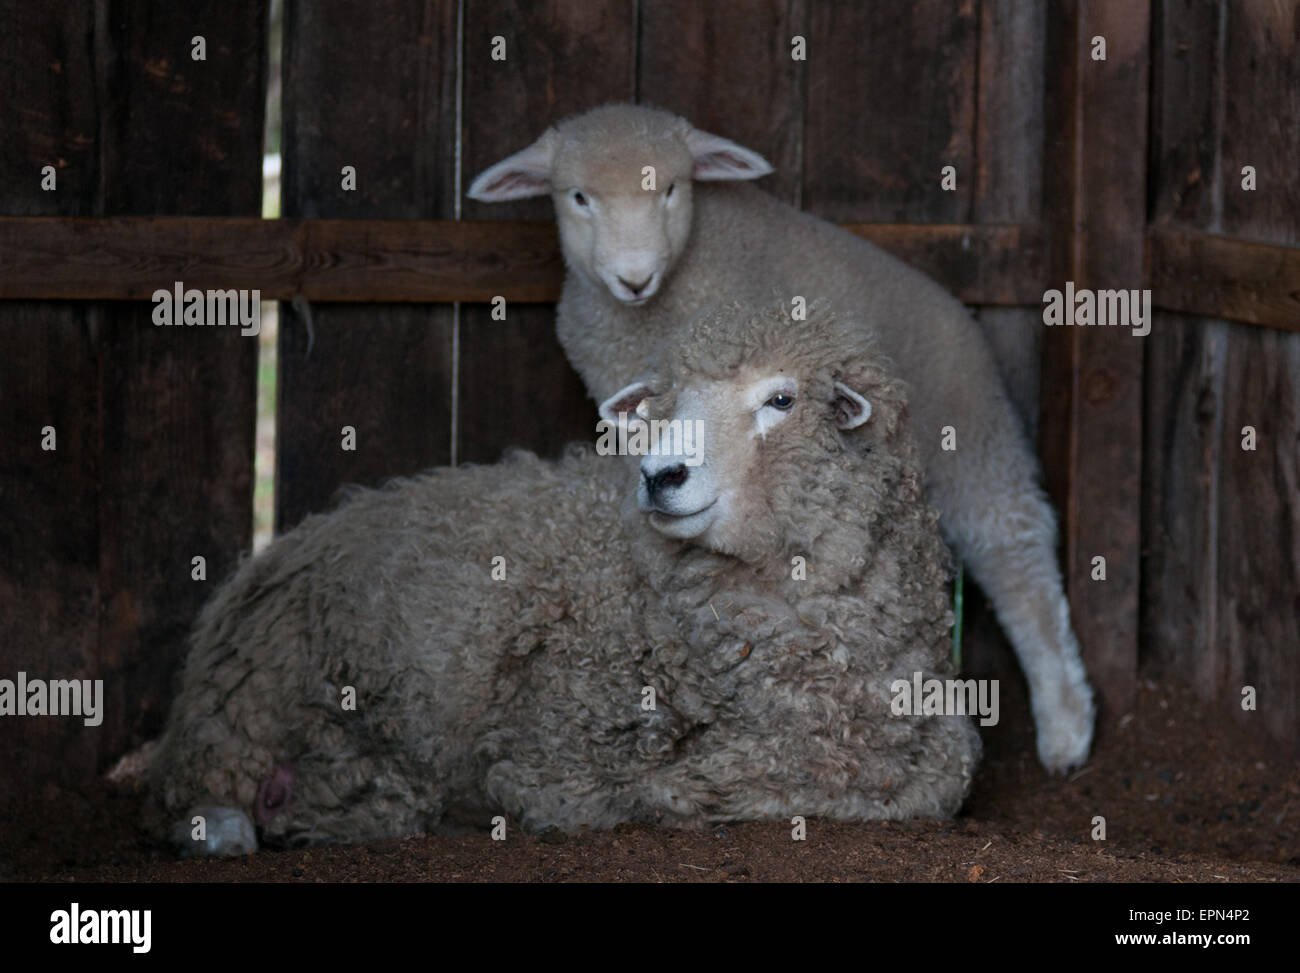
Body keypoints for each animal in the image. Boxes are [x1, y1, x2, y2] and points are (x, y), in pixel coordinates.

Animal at [150, 301, 979, 854]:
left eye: (782, 399)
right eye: (665, 402)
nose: (658, 474)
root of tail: (303, 533)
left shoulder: (931, 727)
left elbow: (942, 775)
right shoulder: (552, 744)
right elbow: (665, 783)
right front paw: (699, 786)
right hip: (251, 690)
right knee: (193, 782)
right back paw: (235, 824)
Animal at [467, 103, 1094, 771]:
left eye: (672, 188)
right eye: (578, 197)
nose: (634, 278)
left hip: (973, 435)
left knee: (1016, 551)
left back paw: (1065, 724)